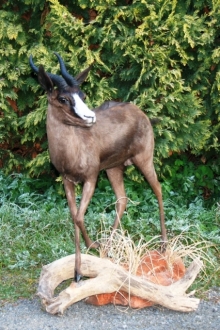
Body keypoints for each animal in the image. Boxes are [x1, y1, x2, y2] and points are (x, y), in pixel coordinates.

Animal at [29, 53, 167, 282]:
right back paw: (107, 247)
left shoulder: (91, 179)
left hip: (144, 160)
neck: (71, 150)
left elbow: (78, 217)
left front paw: (84, 261)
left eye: (82, 95)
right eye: (63, 98)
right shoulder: (67, 181)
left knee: (158, 189)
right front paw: (81, 265)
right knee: (122, 199)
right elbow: (74, 216)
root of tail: (140, 112)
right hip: (114, 169)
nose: (90, 117)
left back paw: (164, 245)